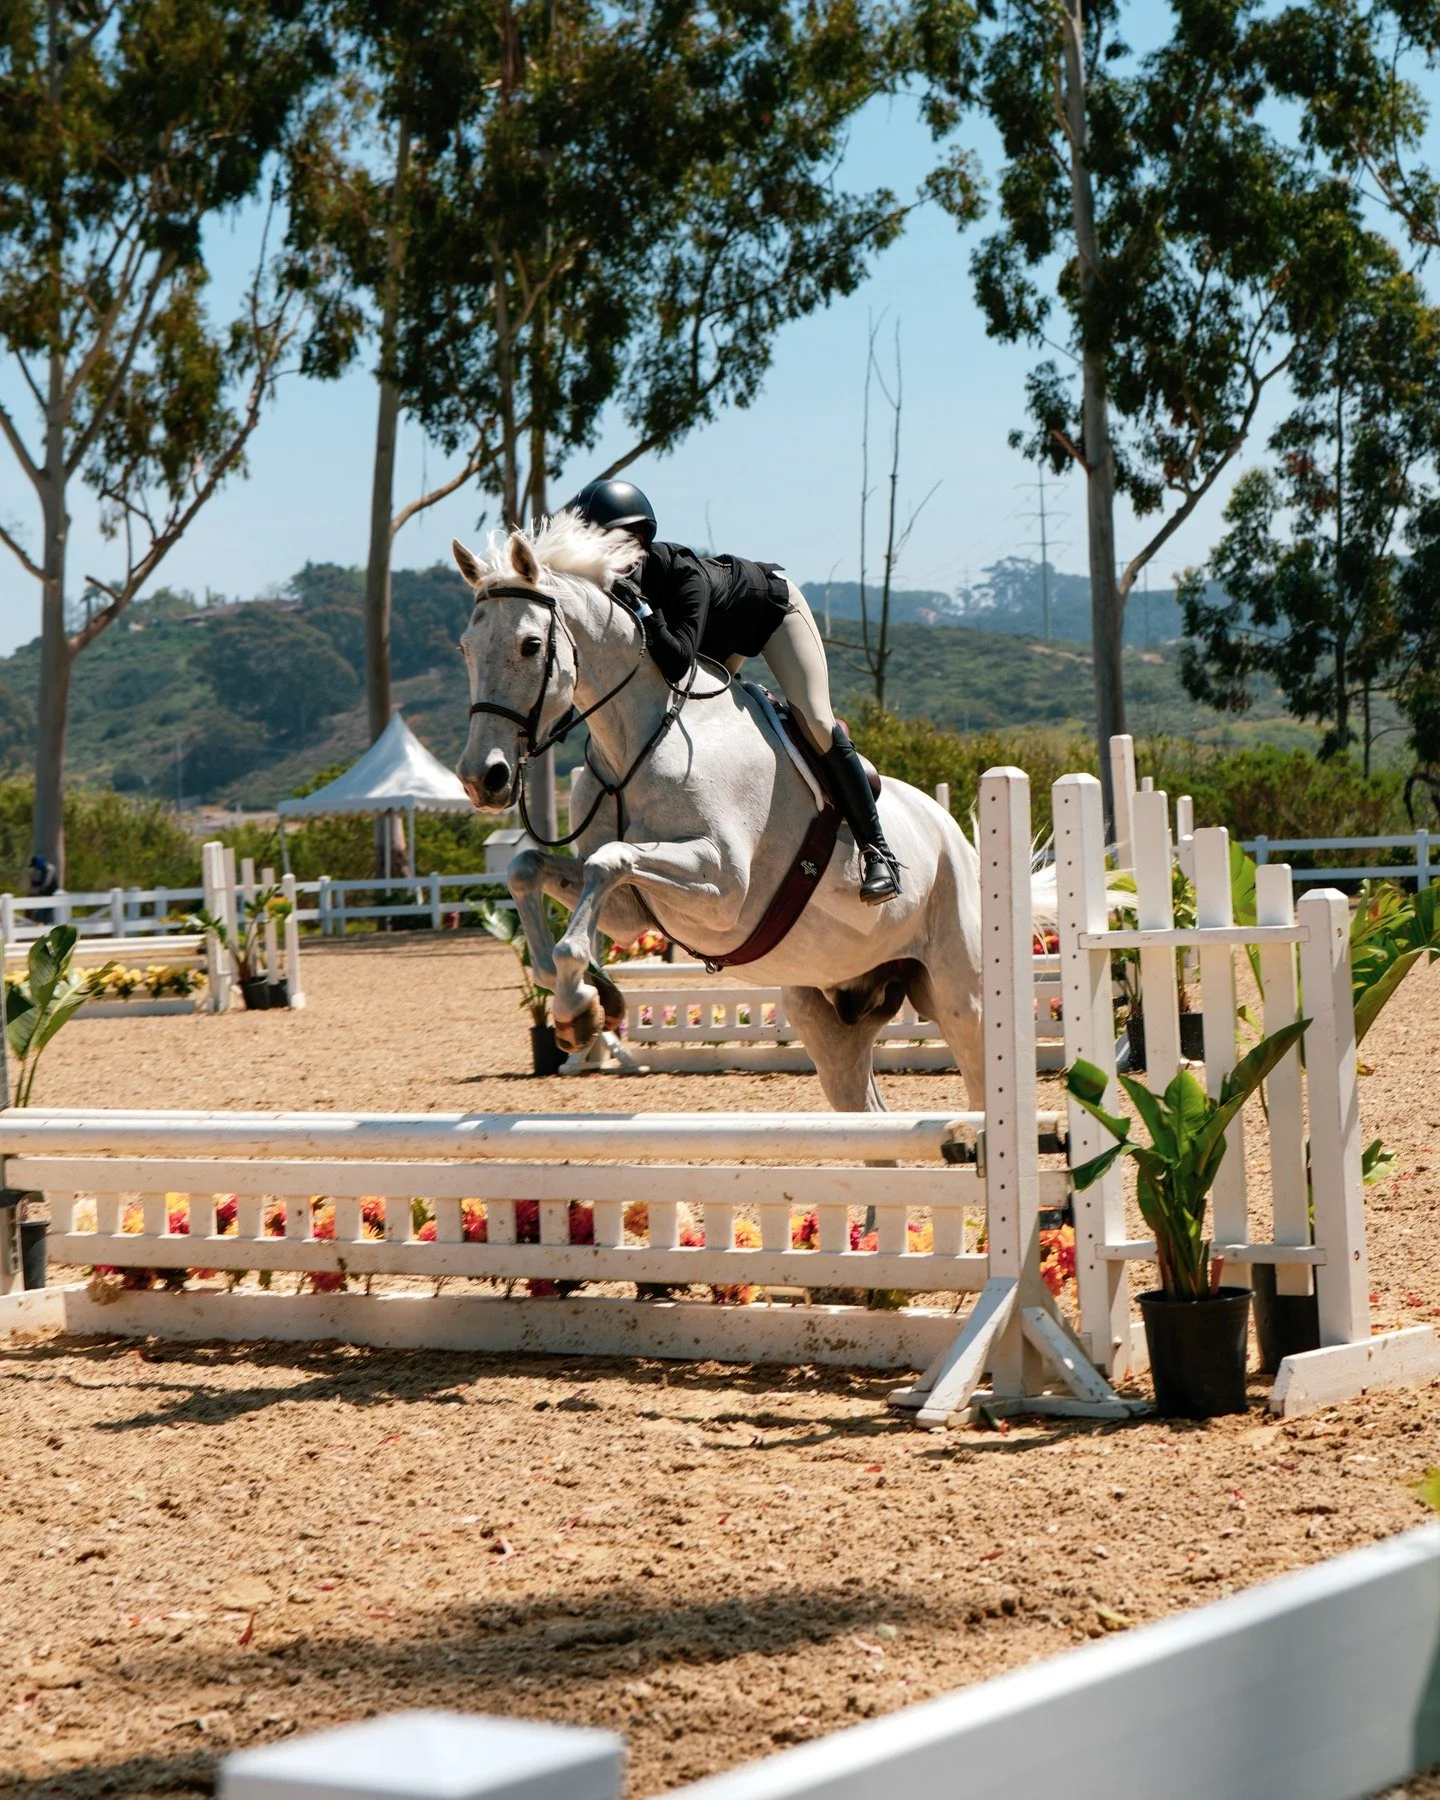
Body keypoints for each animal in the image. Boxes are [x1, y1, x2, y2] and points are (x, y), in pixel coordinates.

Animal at [453, 515, 1002, 1113]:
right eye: (465, 648)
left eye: (531, 645)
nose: (483, 778)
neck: (638, 743)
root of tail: (953, 836)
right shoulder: (631, 914)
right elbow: (528, 869)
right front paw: (590, 999)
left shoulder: (723, 886)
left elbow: (609, 859)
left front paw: (578, 1003)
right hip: (830, 1003)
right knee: (865, 1103)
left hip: (962, 993)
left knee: (981, 1076)